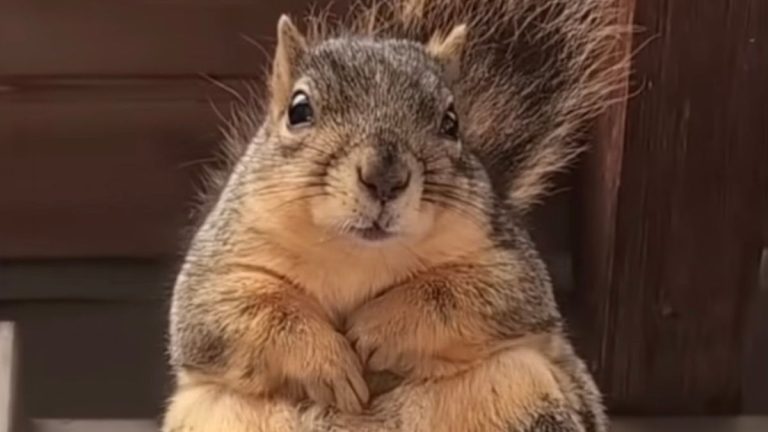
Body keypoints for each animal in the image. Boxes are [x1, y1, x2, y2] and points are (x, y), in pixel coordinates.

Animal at [163, 0, 627, 431]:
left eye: (451, 121)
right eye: (298, 110)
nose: (385, 177)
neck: (356, 254)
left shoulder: (508, 260)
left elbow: (472, 295)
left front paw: (375, 333)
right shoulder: (220, 263)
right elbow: (232, 313)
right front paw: (327, 362)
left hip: (521, 391)